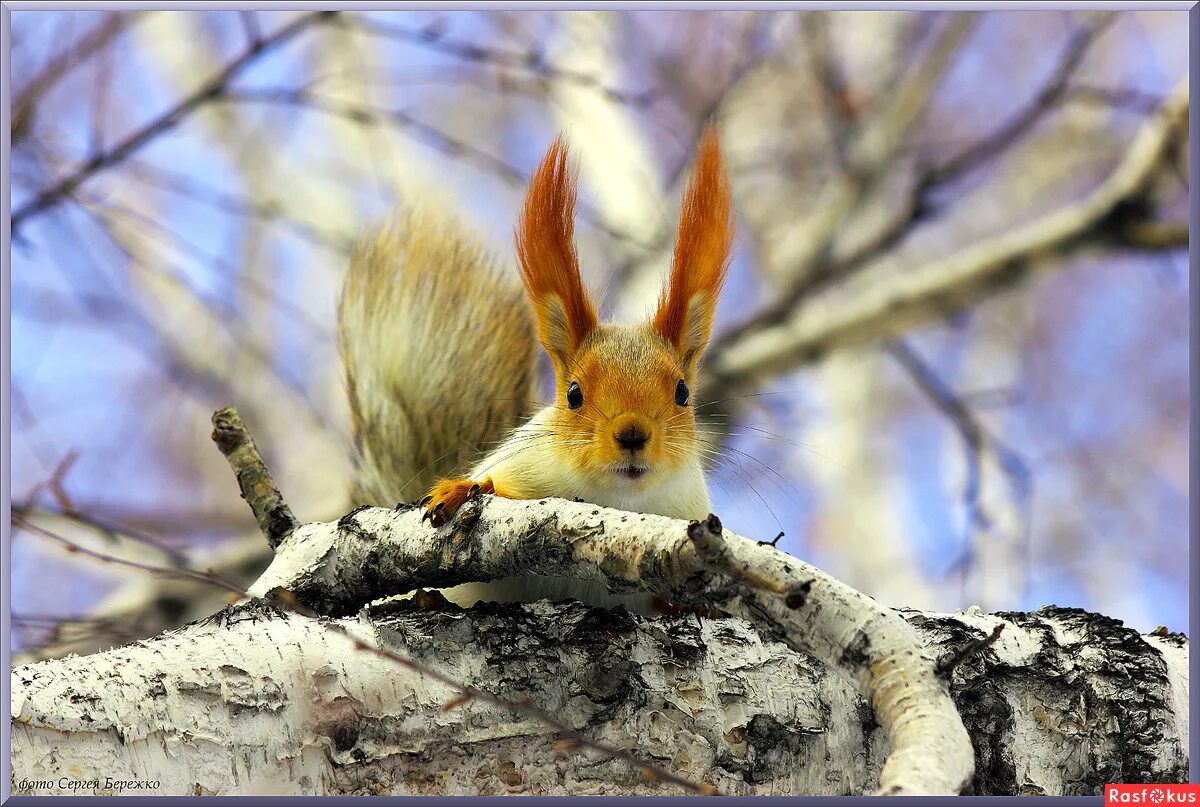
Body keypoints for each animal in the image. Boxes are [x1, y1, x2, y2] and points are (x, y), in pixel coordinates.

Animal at [338, 127, 729, 605]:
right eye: (573, 394)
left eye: (682, 393)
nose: (633, 435)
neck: (618, 501)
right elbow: (491, 485)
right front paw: (463, 489)